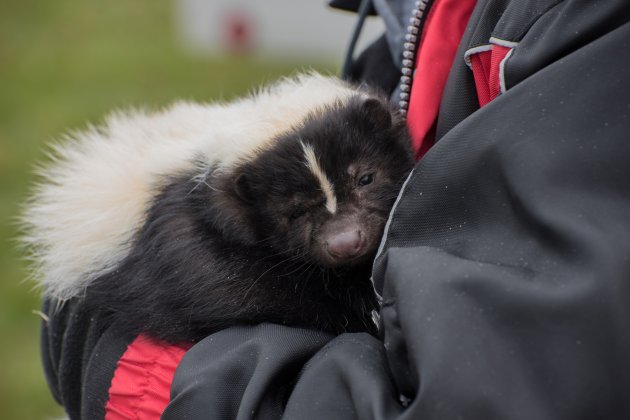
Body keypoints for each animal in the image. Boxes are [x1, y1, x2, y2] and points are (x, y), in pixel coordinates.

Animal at [24, 74, 418, 342]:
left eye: (365, 178)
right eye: (294, 212)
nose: (345, 242)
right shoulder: (183, 243)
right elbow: (237, 292)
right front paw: (361, 312)